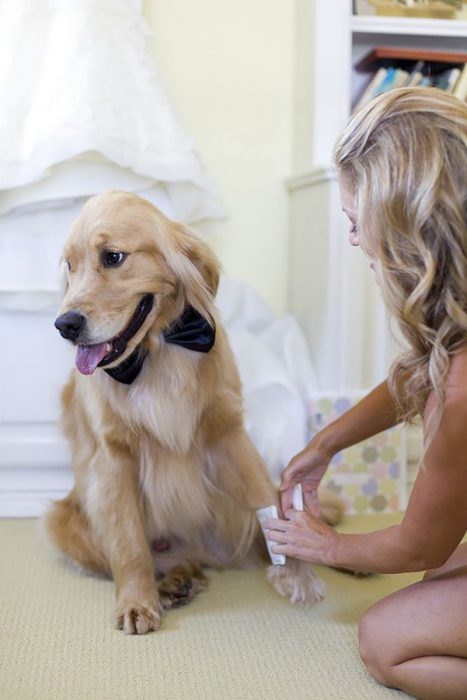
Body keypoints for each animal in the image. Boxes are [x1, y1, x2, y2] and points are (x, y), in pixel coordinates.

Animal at [45, 191, 342, 636]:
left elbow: (266, 500)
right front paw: (137, 602)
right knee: (162, 558)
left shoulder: (229, 435)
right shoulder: (112, 459)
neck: (159, 352)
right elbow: (130, 545)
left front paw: (297, 573)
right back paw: (175, 583)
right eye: (70, 265)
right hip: (65, 520)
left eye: (113, 257)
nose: (65, 325)